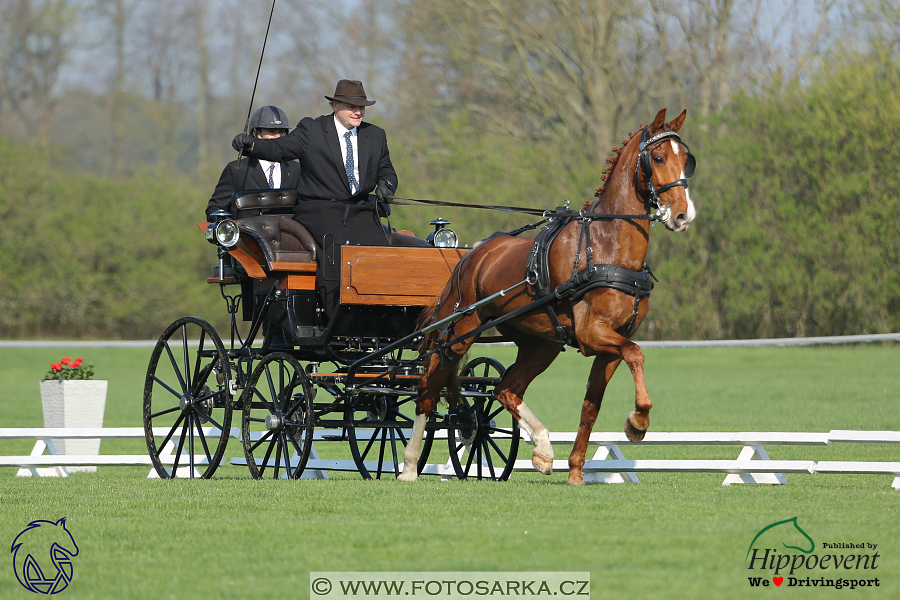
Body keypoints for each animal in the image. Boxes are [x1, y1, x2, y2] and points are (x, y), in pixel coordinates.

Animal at [396, 106, 696, 482]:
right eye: (657, 157)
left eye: (687, 160)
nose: (683, 215)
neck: (606, 247)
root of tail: (471, 255)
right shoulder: (593, 334)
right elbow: (636, 354)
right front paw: (638, 422)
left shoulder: (609, 345)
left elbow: (591, 405)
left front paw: (576, 472)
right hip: (460, 332)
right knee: (428, 387)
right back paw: (409, 464)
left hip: (541, 345)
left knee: (505, 389)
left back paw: (542, 448)